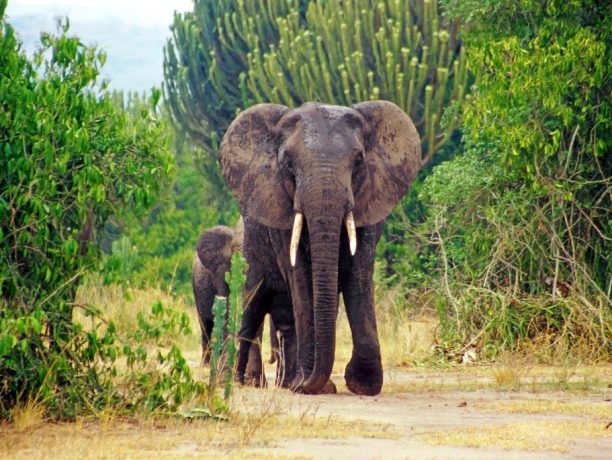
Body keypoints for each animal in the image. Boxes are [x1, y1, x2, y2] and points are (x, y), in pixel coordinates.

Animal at [220, 100, 420, 396]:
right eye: (288, 164)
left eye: (358, 162)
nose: (308, 383)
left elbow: (358, 274)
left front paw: (362, 384)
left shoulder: (369, 200)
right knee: (249, 303)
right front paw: (308, 385)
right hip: (245, 249)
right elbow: (302, 279)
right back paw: (236, 380)